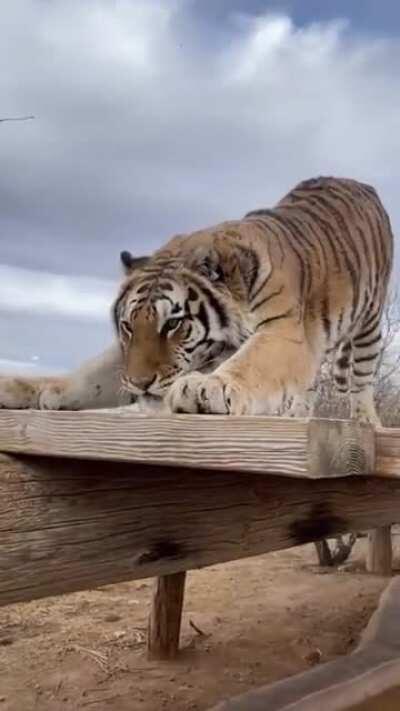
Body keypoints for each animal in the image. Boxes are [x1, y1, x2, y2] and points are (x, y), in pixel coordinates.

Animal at [0, 176, 393, 424]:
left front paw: (208, 387)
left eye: (173, 323)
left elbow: (251, 363)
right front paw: (31, 388)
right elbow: (90, 376)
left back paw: (365, 421)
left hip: (369, 325)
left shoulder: (285, 333)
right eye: (128, 326)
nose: (141, 384)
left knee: (360, 380)